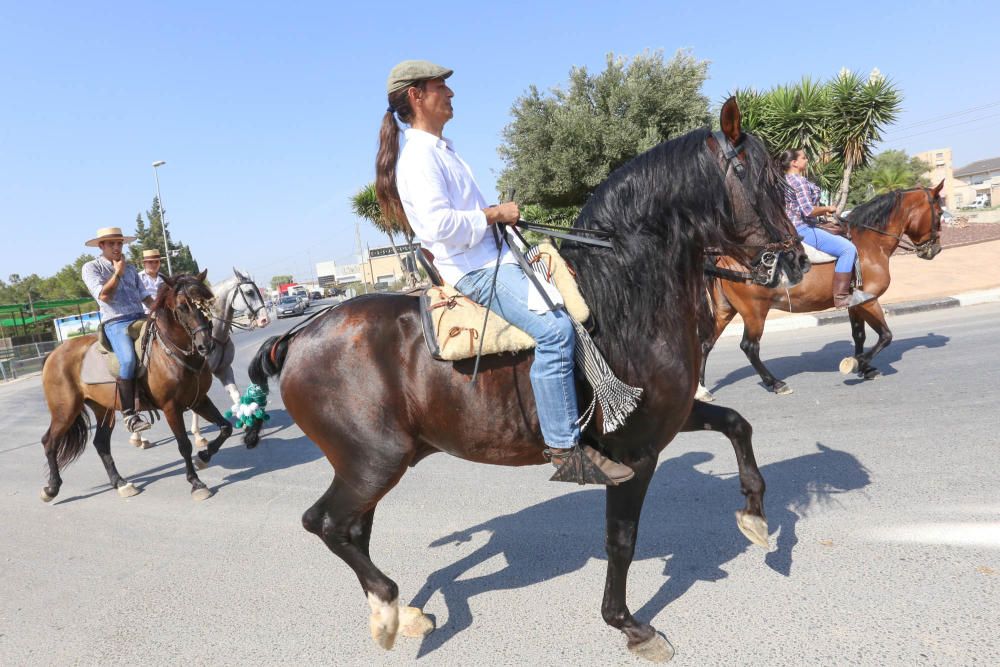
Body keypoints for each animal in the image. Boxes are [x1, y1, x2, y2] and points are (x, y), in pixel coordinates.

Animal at [39, 272, 234, 500]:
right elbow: (184, 445)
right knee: (49, 442)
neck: (171, 352)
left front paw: (203, 457)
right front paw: (196, 483)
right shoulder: (171, 407)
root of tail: (53, 354)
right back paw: (51, 488)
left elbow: (226, 428)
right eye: (182, 307)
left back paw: (121, 483)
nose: (206, 345)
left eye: (206, 302)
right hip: (65, 411)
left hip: (103, 410)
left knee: (101, 444)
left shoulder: (199, 400)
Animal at [248, 99, 804, 664]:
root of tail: (297, 336)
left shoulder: (667, 416)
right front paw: (630, 625)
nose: (795, 260)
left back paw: (403, 614)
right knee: (326, 523)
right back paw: (386, 609)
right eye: (753, 177)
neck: (624, 300)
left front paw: (756, 517)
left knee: (353, 527)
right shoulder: (634, 451)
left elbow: (736, 424)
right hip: (373, 462)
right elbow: (621, 540)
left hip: (375, 465)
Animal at [696, 180, 944, 400]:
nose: (935, 249)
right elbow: (886, 336)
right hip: (754, 312)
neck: (870, 244)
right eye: (940, 212)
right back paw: (775, 383)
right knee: (749, 347)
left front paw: (866, 367)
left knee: (706, 343)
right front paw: (857, 363)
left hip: (726, 310)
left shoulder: (854, 304)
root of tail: (724, 256)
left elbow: (859, 335)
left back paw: (702, 389)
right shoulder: (869, 300)